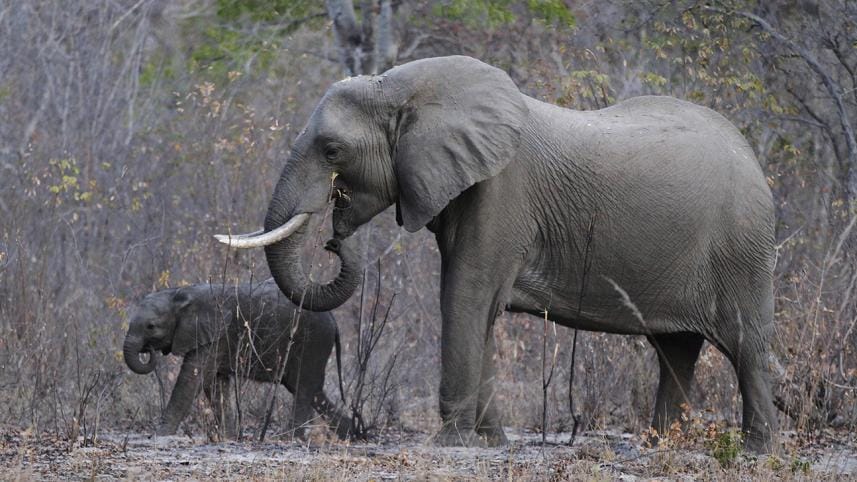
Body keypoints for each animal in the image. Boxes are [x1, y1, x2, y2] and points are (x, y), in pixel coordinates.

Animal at [122, 280, 353, 439]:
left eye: (151, 326)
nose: (148, 350)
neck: (179, 293)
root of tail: (333, 319)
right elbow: (215, 383)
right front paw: (230, 437)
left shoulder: (215, 332)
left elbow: (192, 379)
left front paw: (159, 435)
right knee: (312, 391)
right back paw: (352, 434)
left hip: (312, 341)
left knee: (303, 389)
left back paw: (291, 438)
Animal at [216, 56, 777, 452]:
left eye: (333, 151)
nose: (334, 236)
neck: (399, 86)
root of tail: (752, 155)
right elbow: (478, 305)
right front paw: (491, 442)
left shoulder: (502, 190)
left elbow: (465, 293)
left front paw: (451, 443)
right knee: (676, 349)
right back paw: (663, 445)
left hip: (742, 247)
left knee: (745, 345)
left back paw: (755, 450)